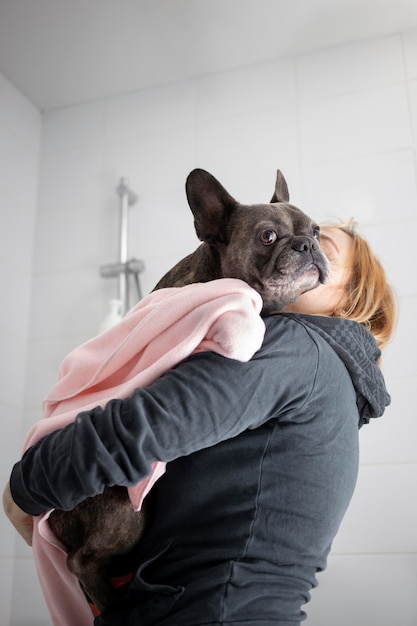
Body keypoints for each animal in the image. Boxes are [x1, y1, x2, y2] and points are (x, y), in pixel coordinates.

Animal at [48, 166, 328, 608]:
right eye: (268, 236)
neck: (212, 273)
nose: (307, 245)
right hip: (127, 508)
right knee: (82, 561)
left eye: (316, 231)